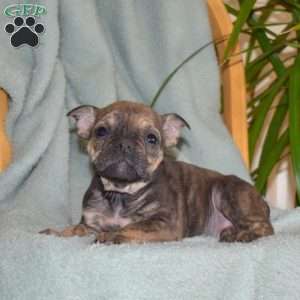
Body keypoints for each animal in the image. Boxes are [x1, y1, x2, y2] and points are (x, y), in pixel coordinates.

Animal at [40, 101, 274, 244]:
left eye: (151, 138)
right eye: (101, 131)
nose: (124, 144)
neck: (121, 192)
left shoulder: (162, 222)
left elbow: (131, 226)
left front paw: (111, 236)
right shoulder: (91, 223)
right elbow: (75, 229)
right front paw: (57, 233)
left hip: (226, 192)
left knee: (265, 228)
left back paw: (240, 235)